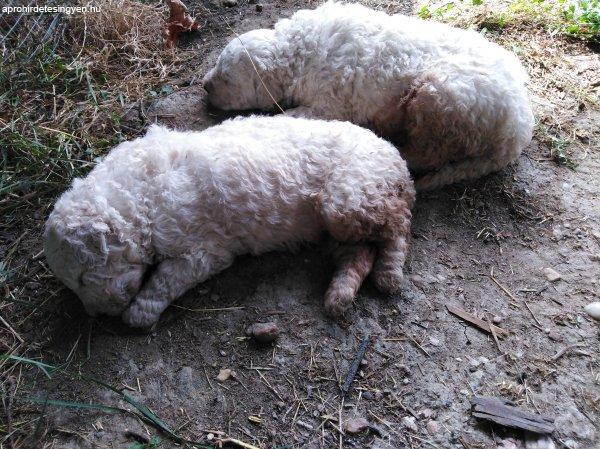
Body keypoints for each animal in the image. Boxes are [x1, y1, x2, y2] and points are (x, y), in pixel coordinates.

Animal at [44, 114, 414, 326]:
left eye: (82, 277)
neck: (137, 197)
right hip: (338, 225)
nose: (97, 315)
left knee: (397, 227)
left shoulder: (205, 250)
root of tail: (397, 159)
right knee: (360, 252)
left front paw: (140, 312)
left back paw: (389, 274)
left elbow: (166, 277)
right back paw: (339, 295)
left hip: (349, 198)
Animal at [203, 0, 536, 189]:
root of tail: (517, 133)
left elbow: (294, 116)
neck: (296, 51)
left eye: (226, 78)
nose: (205, 86)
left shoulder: (329, 105)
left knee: (429, 153)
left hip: (439, 96)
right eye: (216, 66)